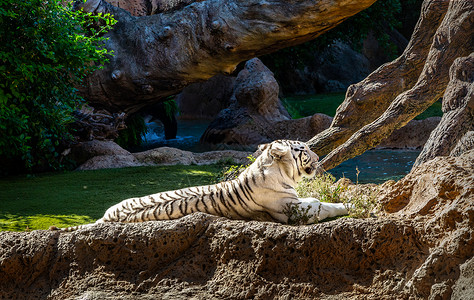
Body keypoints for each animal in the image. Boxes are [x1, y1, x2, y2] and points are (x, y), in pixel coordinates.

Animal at [51, 139, 348, 231]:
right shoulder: (294, 210)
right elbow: (321, 205)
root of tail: (104, 218)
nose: (318, 158)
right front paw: (347, 205)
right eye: (303, 149)